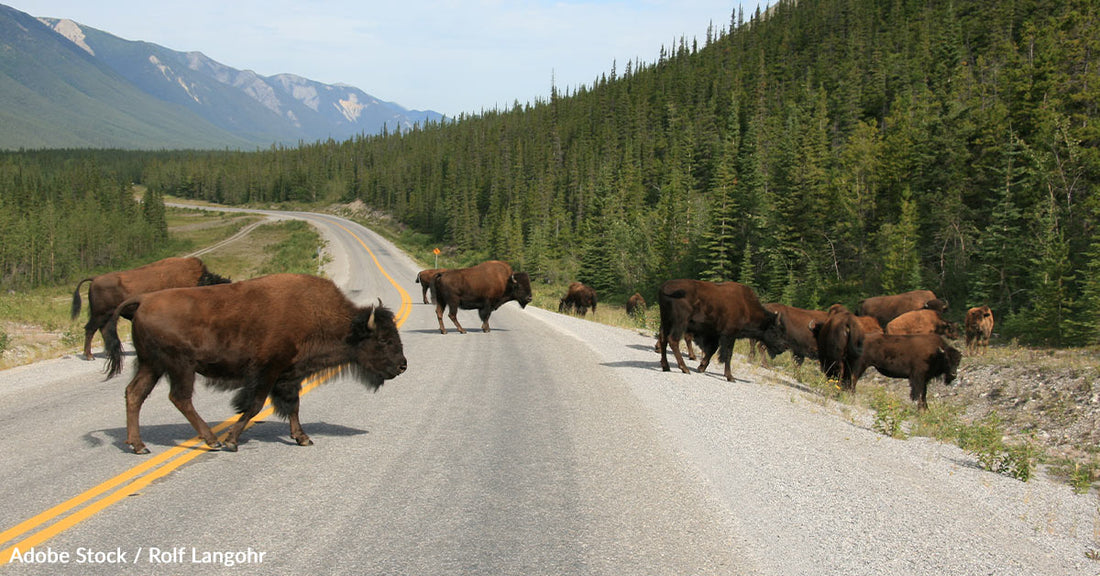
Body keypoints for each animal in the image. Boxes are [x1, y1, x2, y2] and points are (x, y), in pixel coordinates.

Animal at [71, 257, 229, 360]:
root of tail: (95, 279)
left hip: (108, 315)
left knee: (102, 330)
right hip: (100, 314)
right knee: (90, 329)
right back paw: (89, 355)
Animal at [103, 273, 407, 454]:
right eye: (383, 339)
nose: (403, 365)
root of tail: (143, 300)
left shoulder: (288, 375)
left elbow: (293, 406)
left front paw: (303, 438)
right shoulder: (267, 372)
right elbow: (254, 405)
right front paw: (231, 441)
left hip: (151, 365)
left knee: (135, 394)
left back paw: (138, 445)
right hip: (180, 367)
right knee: (179, 397)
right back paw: (211, 440)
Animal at [657, 280, 787, 382]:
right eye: (775, 331)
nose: (783, 347)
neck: (746, 306)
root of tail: (664, 287)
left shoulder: (715, 334)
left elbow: (712, 350)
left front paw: (701, 367)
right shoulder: (730, 335)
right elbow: (727, 354)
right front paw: (730, 377)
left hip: (666, 321)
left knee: (663, 339)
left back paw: (666, 366)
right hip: (679, 323)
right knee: (673, 340)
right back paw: (684, 368)